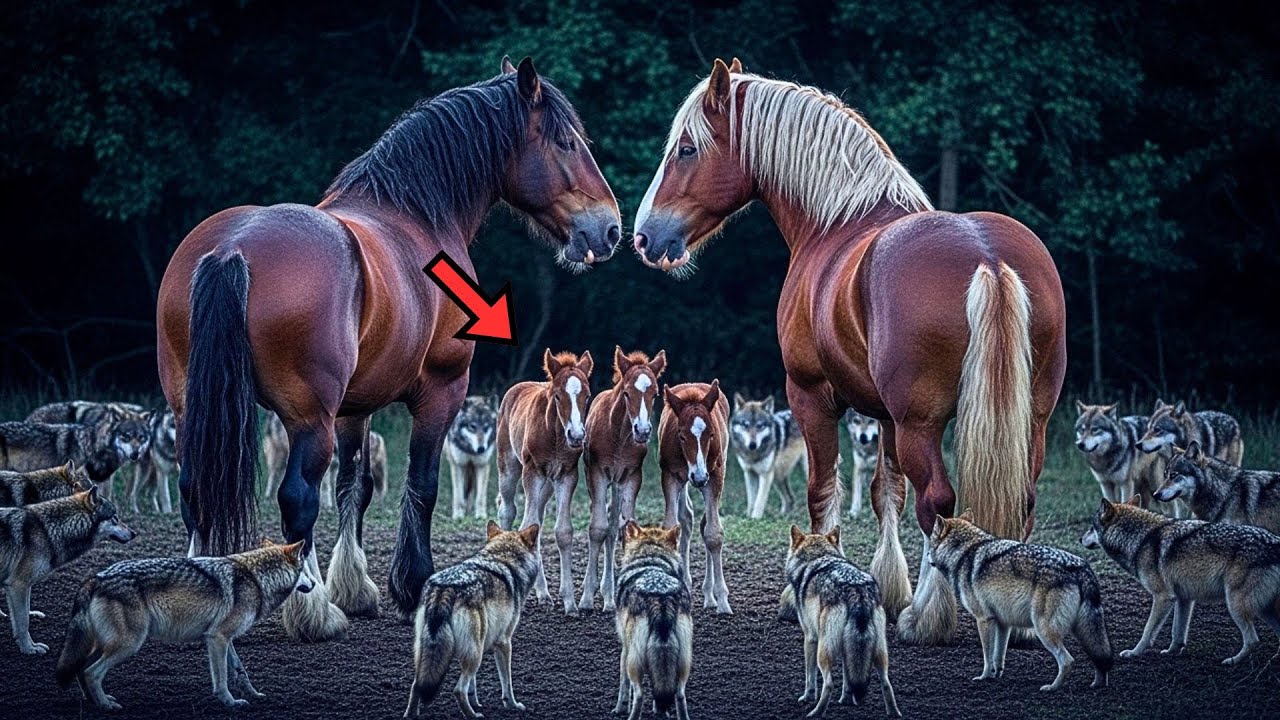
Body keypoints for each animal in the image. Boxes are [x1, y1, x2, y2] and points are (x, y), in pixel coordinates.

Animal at [495, 349, 594, 615]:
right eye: (558, 396)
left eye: (587, 395)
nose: (577, 435)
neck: (555, 435)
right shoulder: (533, 472)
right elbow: (528, 524)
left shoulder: (566, 475)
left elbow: (563, 531)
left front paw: (570, 602)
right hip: (508, 466)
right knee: (507, 511)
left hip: (548, 485)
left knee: (537, 519)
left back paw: (543, 593)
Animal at [579, 346, 667, 611]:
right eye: (627, 392)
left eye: (655, 394)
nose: (643, 431)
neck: (618, 435)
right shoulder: (596, 474)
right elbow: (597, 529)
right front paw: (586, 598)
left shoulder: (631, 477)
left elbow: (623, 528)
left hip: (618, 485)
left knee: (613, 528)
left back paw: (609, 595)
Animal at [659, 380, 732, 614]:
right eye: (682, 436)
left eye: (711, 435)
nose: (699, 477)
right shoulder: (670, 476)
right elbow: (672, 527)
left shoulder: (715, 475)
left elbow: (713, 533)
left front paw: (723, 601)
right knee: (687, 519)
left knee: (704, 523)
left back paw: (709, 596)